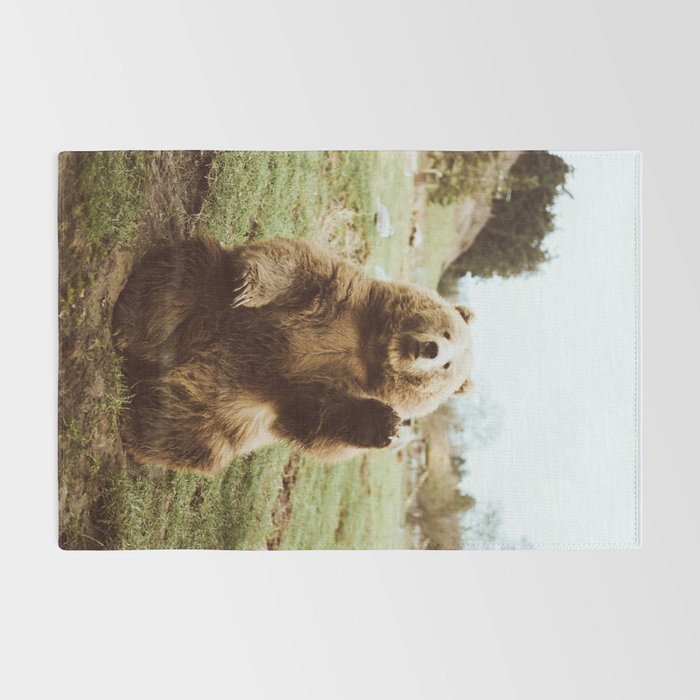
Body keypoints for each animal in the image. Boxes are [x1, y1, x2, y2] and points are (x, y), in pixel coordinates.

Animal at [112, 236, 474, 474]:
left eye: (447, 365)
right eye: (447, 334)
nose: (430, 349)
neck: (371, 347)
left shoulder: (321, 385)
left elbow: (316, 422)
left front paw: (389, 426)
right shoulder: (340, 296)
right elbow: (295, 266)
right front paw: (247, 286)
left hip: (229, 408)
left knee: (193, 432)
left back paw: (143, 425)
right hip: (207, 297)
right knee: (180, 278)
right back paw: (130, 328)